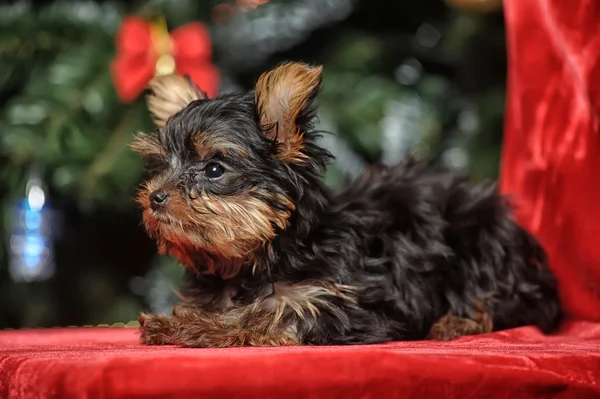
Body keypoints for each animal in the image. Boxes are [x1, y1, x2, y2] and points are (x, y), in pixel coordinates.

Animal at [131, 61, 564, 346]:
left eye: (214, 169)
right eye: (160, 166)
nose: (155, 197)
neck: (258, 258)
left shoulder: (345, 303)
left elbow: (274, 314)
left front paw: (194, 327)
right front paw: (190, 320)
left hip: (480, 241)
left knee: (506, 303)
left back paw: (455, 323)